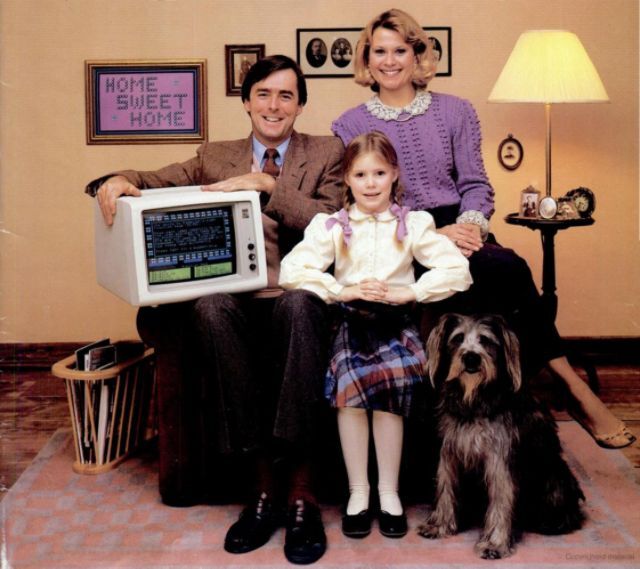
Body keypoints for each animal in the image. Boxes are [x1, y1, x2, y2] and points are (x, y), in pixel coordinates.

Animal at [420, 316, 584, 560]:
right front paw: (439, 525)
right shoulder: (450, 452)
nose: (471, 357)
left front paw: (494, 544)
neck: (475, 400)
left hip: (555, 484)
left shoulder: (500, 460)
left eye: (486, 340)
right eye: (457, 338)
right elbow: (445, 490)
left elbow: (501, 502)